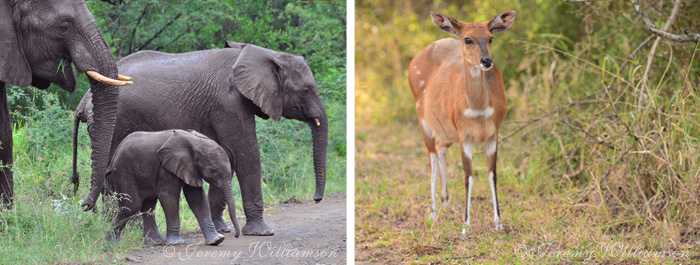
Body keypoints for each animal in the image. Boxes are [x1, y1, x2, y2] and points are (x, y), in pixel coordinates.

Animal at [106, 129, 241, 244]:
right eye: (212, 171)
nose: (235, 235)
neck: (195, 142)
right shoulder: (165, 166)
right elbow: (168, 195)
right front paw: (175, 243)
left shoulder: (190, 167)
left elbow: (197, 198)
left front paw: (216, 240)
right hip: (123, 171)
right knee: (132, 206)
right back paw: (111, 243)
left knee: (148, 204)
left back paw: (155, 241)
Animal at [408, 10, 516, 233]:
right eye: (468, 39)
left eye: (490, 37)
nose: (486, 61)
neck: (478, 110)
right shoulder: (464, 134)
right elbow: (469, 176)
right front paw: (466, 226)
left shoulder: (493, 133)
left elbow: (492, 174)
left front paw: (498, 223)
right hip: (423, 121)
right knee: (432, 159)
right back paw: (433, 214)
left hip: (445, 132)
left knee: (440, 152)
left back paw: (446, 203)